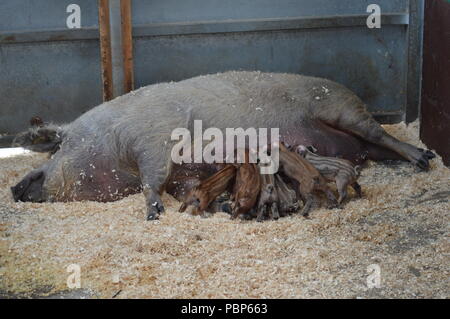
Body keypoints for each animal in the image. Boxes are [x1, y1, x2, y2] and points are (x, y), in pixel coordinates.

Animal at [10, 71, 434, 220]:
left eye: (57, 148)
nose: (14, 187)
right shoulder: (175, 170)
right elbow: (177, 185)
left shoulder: (153, 138)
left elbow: (151, 178)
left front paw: (153, 213)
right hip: (350, 138)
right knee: (372, 150)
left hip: (344, 109)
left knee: (382, 134)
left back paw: (425, 158)